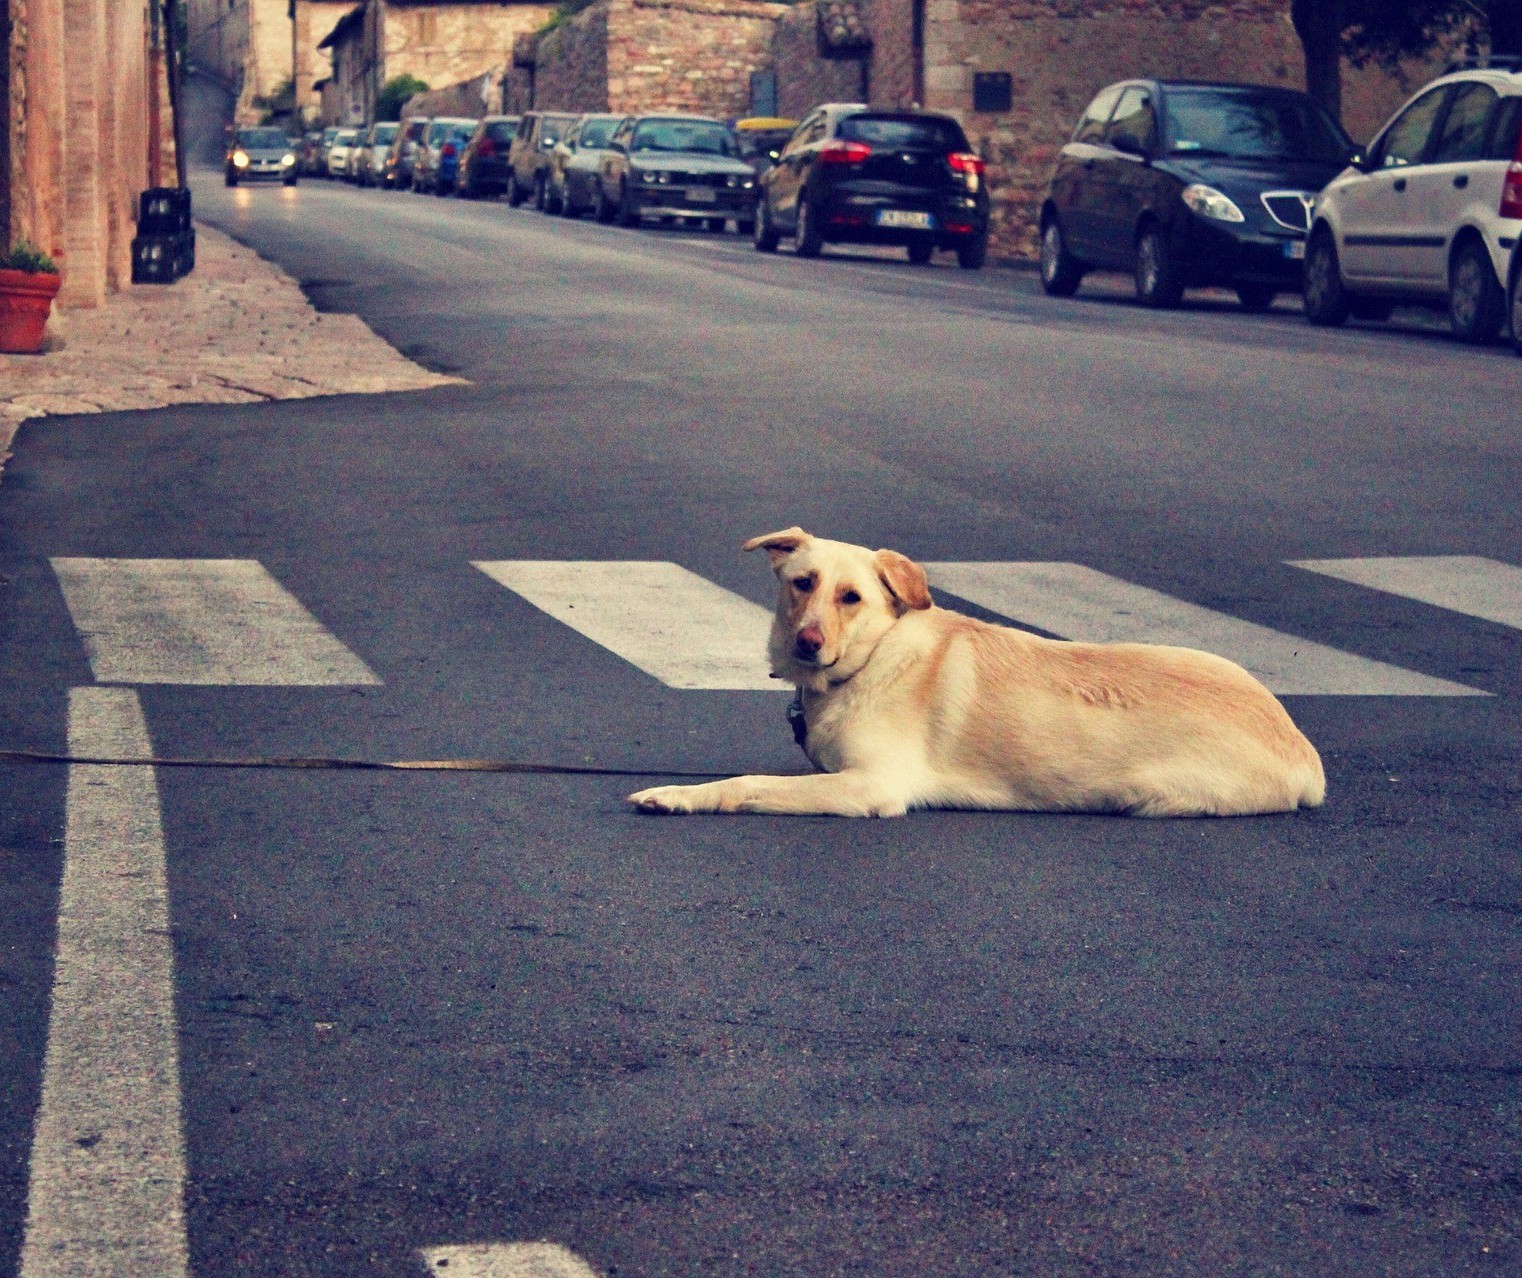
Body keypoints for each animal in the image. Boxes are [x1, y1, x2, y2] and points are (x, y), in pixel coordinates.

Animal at [624, 532, 1327, 821]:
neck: (874, 659)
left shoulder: (870, 786)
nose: (808, 643)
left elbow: (748, 784)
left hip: (1160, 792)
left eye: (851, 598)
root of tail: (1302, 748)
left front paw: (677, 796)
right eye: (803, 584)